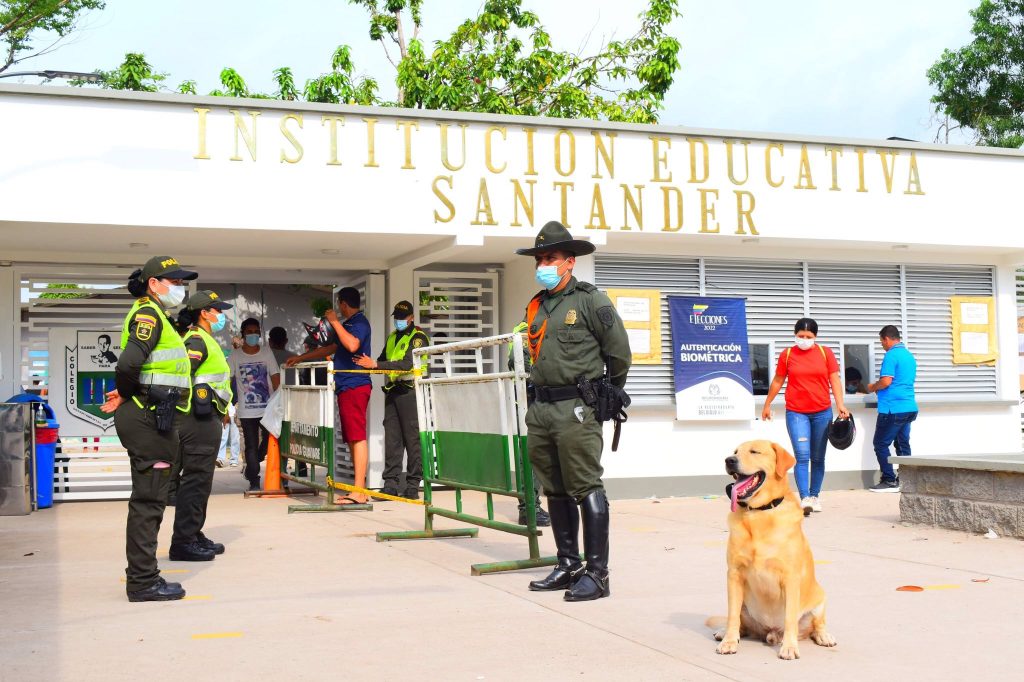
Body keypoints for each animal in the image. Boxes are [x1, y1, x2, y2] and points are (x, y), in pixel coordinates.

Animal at [716, 438, 835, 655]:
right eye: (735, 452)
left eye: (754, 451)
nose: (729, 460)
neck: (758, 514)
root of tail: (770, 632)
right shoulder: (734, 573)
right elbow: (732, 615)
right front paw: (729, 641)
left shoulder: (790, 577)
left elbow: (790, 618)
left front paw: (789, 647)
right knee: (739, 620)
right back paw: (725, 632)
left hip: (820, 597)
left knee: (817, 624)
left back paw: (824, 636)